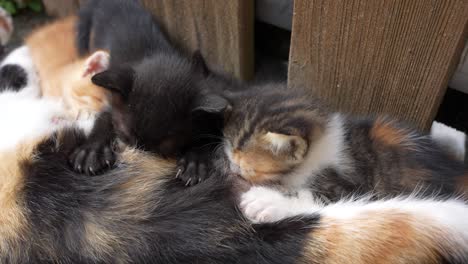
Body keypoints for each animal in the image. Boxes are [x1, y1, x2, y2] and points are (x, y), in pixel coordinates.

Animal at [77, 0, 229, 182]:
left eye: (165, 147)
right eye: (127, 139)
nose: (142, 162)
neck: (156, 55)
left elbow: (209, 135)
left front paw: (195, 161)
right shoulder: (113, 100)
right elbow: (105, 117)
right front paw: (92, 150)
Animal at [220, 83, 468, 203]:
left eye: (248, 169)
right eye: (229, 155)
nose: (232, 168)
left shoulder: (352, 188)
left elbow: (312, 197)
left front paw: (268, 201)